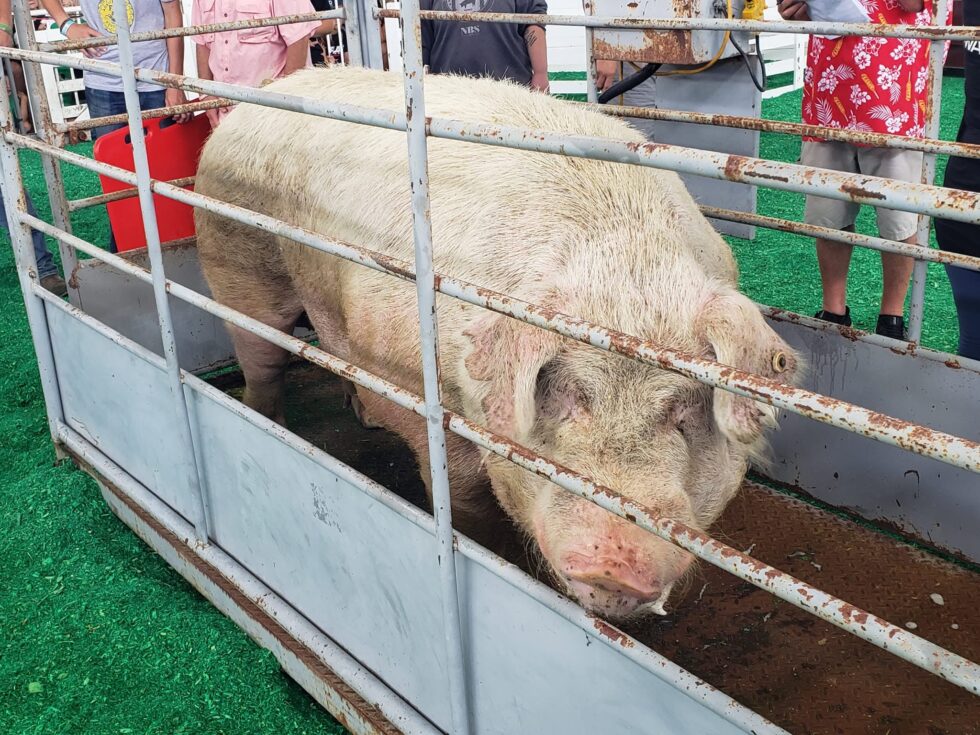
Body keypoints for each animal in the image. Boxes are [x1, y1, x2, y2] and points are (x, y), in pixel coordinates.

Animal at [195, 66, 800, 621]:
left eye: (683, 411)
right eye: (567, 394)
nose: (614, 564)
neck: (618, 269)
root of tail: (264, 92)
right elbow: (462, 494)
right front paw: (480, 549)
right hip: (236, 257)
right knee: (262, 357)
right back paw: (266, 420)